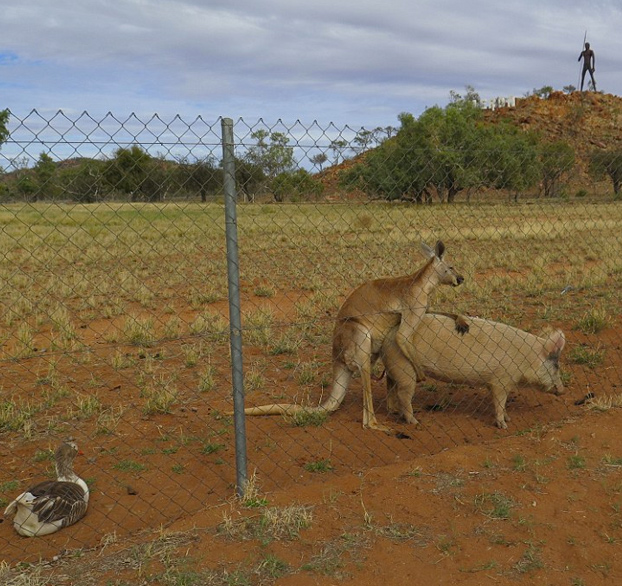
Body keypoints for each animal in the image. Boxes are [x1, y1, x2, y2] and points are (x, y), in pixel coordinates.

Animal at [382, 310, 568, 428]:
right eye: (556, 366)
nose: (562, 390)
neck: (526, 358)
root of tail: (389, 335)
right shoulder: (501, 380)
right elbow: (500, 401)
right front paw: (504, 425)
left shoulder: (494, 381)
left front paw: (508, 418)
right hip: (405, 369)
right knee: (403, 394)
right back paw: (414, 421)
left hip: (394, 367)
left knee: (390, 386)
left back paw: (393, 411)